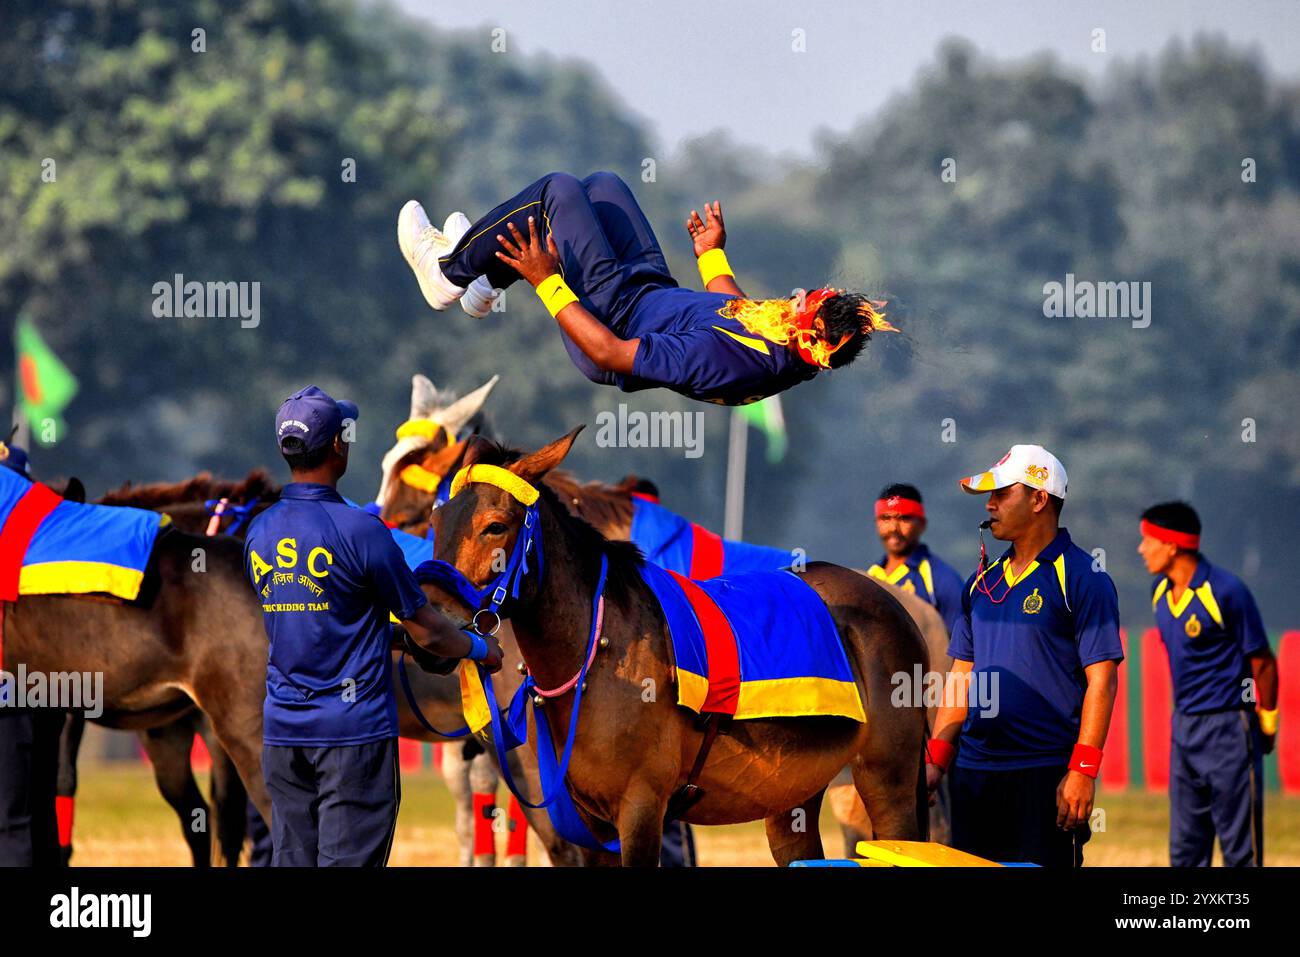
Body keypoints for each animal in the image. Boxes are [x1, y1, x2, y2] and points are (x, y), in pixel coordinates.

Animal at [431, 434, 930, 868]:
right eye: (437, 524)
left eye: (494, 527)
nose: (435, 618)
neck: (599, 653)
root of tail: (894, 604)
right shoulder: (587, 823)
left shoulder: (640, 807)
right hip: (795, 788)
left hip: (888, 776)